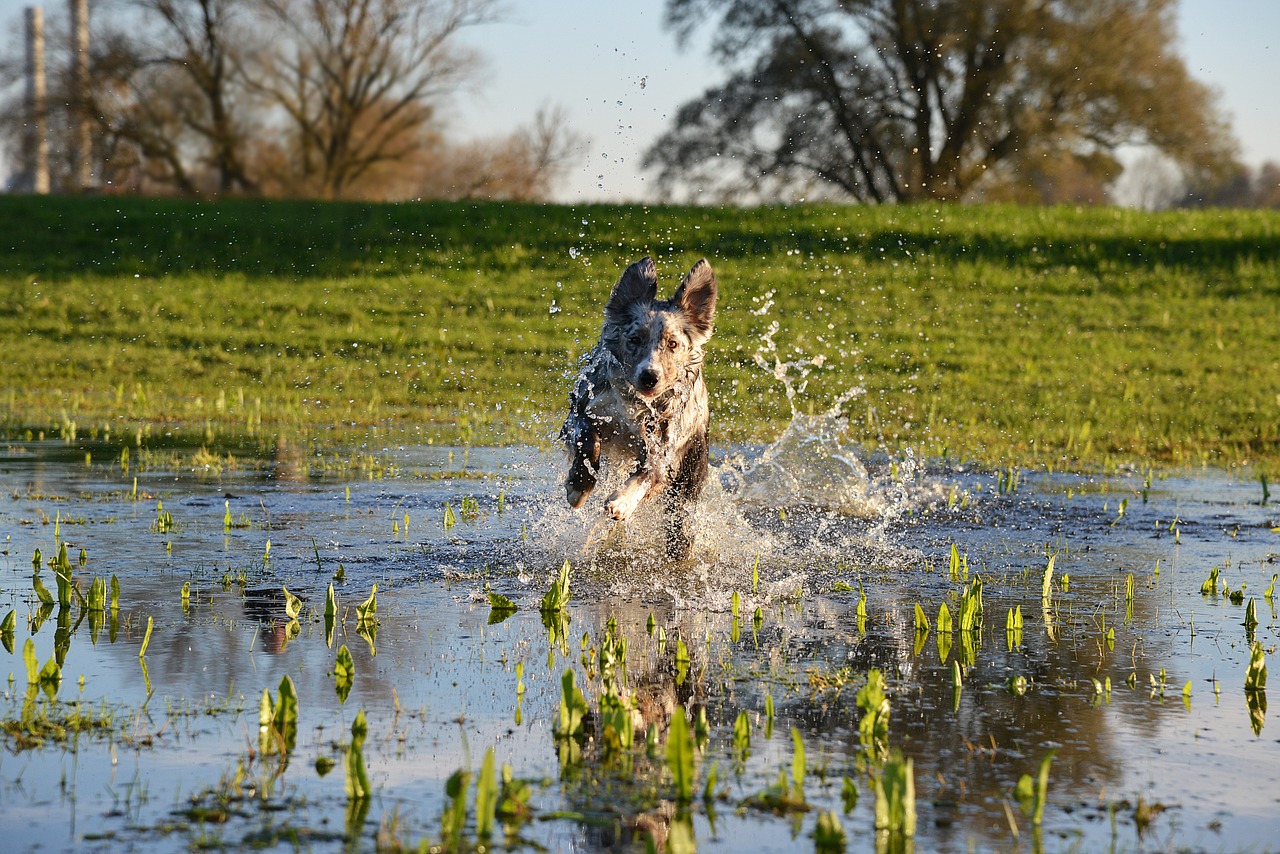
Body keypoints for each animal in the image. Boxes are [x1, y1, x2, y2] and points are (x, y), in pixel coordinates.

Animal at [560, 256, 721, 560]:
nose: (649, 376)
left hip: (691, 471)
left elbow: (649, 474)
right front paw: (578, 486)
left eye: (673, 344)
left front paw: (621, 502)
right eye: (634, 339)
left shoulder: (665, 449)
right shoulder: (584, 410)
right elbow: (589, 441)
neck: (637, 405)